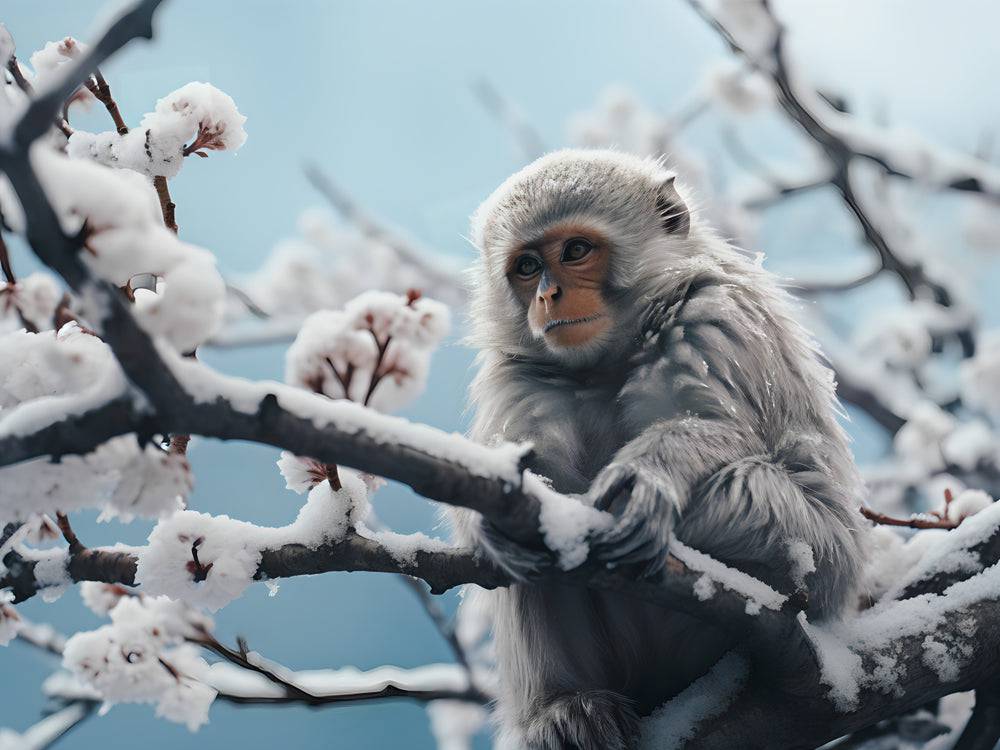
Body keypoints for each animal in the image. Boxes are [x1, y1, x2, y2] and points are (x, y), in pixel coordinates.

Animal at [449, 149, 869, 750]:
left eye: (575, 251)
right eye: (526, 267)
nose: (548, 295)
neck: (609, 360)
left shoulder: (712, 315)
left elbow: (724, 428)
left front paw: (646, 479)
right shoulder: (519, 377)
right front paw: (504, 510)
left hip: (832, 568)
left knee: (745, 486)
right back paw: (565, 709)